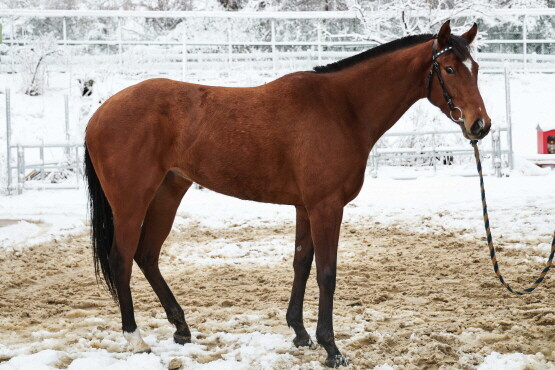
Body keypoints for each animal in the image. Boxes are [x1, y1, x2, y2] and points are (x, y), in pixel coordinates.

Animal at [83, 21, 490, 368]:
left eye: (475, 68)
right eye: (449, 69)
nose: (480, 126)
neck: (342, 108)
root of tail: (99, 115)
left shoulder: (305, 207)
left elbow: (301, 263)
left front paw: (300, 332)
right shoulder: (326, 207)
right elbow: (327, 272)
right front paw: (331, 348)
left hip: (168, 193)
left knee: (147, 256)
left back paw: (181, 328)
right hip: (132, 203)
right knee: (122, 259)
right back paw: (135, 338)